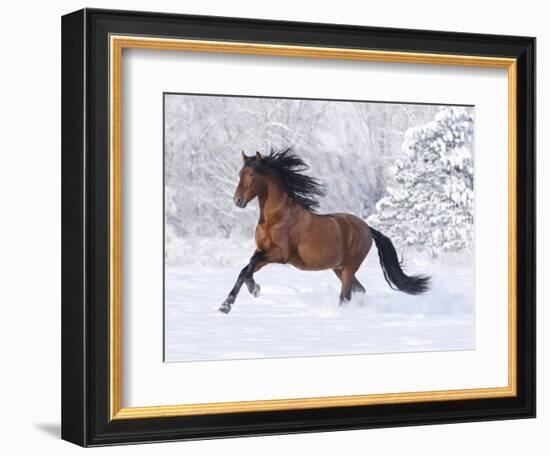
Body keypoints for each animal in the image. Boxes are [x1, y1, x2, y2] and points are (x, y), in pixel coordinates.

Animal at [220, 149, 432, 314]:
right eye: (240, 173)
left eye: (251, 175)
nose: (237, 201)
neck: (275, 217)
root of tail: (367, 228)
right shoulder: (263, 252)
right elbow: (245, 270)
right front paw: (227, 305)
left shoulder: (280, 254)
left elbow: (249, 265)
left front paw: (254, 290)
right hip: (339, 268)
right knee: (359, 290)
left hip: (349, 268)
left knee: (345, 295)